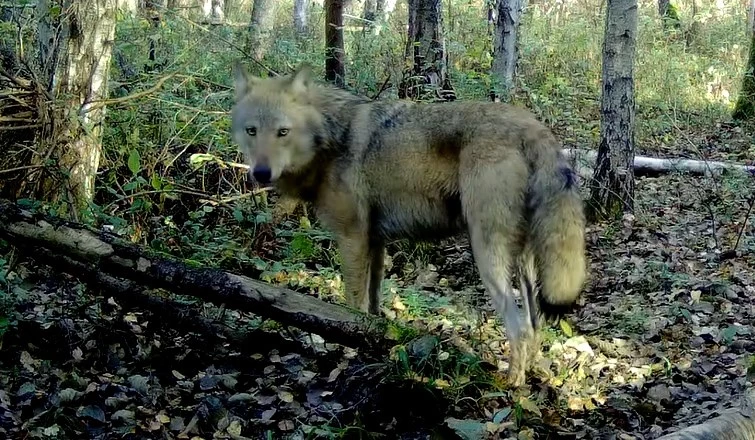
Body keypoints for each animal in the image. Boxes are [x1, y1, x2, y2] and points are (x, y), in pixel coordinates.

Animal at [230, 63, 592, 386]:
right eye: (252, 131)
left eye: (282, 132)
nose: (260, 173)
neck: (331, 137)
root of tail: (533, 125)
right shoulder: (375, 243)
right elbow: (372, 308)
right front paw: (369, 345)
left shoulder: (352, 239)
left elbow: (352, 306)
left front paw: (347, 352)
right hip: (524, 264)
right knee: (535, 322)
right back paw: (536, 374)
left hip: (487, 256)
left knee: (519, 326)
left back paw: (511, 385)